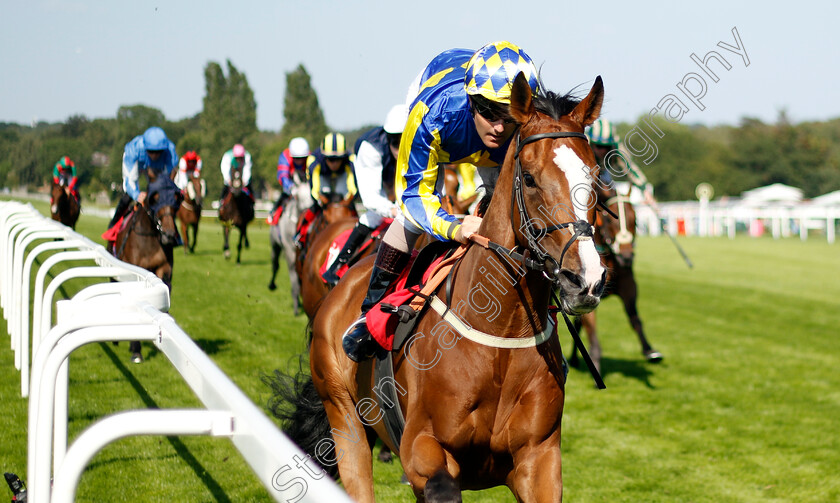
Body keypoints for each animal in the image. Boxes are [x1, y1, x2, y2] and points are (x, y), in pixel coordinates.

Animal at [270, 171, 312, 316]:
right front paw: (295, 307)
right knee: (275, 264)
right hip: (275, 245)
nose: (308, 211)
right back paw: (272, 285)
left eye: (312, 195)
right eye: (298, 196)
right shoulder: (289, 250)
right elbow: (293, 272)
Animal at [276, 73, 612, 502]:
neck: (502, 334)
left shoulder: (540, 459)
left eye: (596, 176)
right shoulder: (422, 448)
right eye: (530, 179)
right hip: (344, 416)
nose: (585, 279)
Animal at [572, 185, 664, 374]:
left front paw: (650, 351)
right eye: (609, 220)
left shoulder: (628, 285)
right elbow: (592, 331)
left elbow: (635, 319)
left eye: (634, 221)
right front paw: (596, 364)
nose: (627, 257)